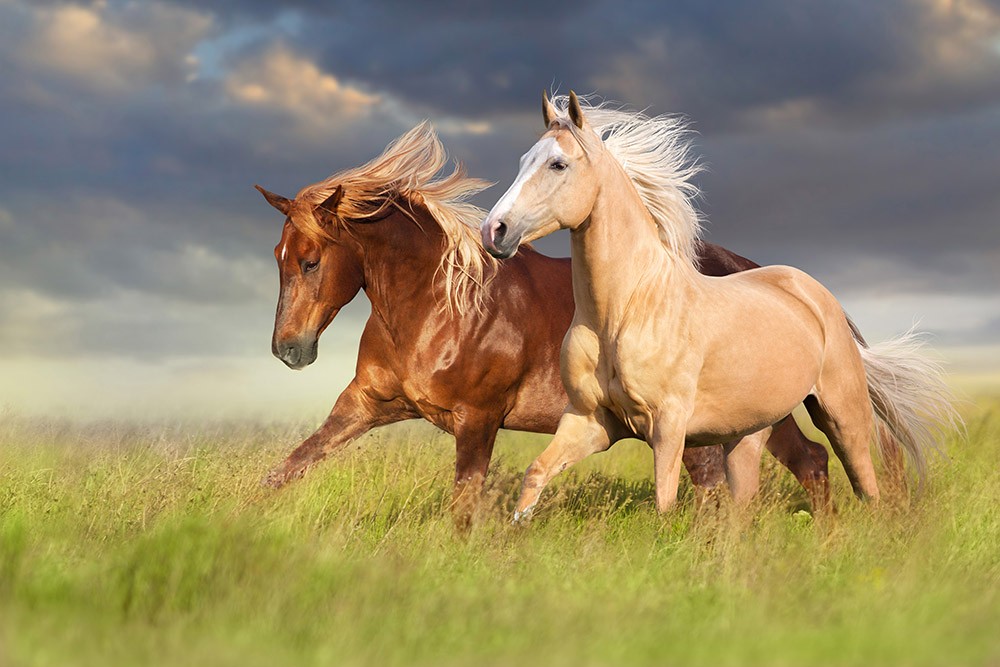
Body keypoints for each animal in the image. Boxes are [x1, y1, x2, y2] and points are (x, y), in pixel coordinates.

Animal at [256, 120, 828, 528]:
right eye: (279, 258)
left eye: (311, 262)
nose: (289, 350)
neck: (438, 307)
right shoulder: (366, 404)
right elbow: (290, 467)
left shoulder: (478, 419)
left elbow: (464, 507)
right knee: (807, 463)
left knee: (782, 469)